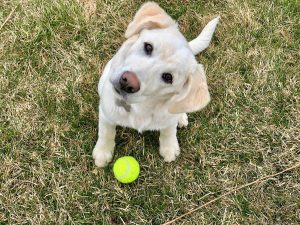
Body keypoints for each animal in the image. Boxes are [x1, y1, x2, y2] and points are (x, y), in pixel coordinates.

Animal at [92, 1, 219, 167]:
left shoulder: (168, 121)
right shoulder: (106, 113)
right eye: (148, 47)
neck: (140, 107)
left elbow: (168, 131)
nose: (127, 82)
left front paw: (169, 148)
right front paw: (102, 152)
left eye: (168, 77)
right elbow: (106, 132)